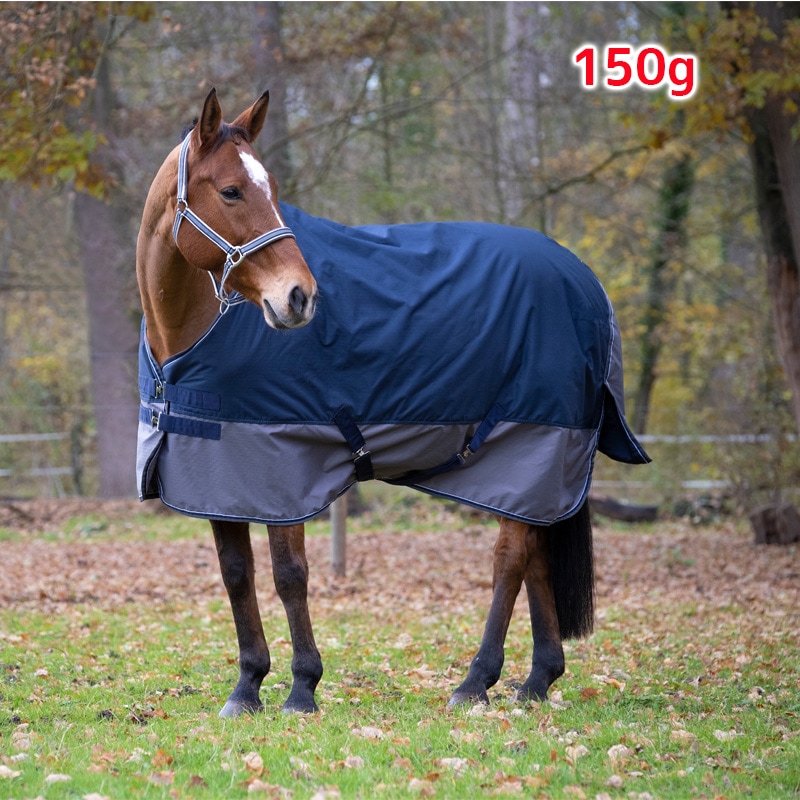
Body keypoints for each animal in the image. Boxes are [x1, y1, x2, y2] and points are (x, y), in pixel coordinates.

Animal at [136, 89, 649, 717]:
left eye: (273, 190)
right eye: (231, 190)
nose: (299, 297)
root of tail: (586, 282)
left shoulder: (285, 470)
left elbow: (289, 575)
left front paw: (302, 688)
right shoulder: (218, 469)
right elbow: (237, 575)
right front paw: (247, 687)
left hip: (532, 446)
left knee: (510, 559)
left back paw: (475, 681)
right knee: (535, 558)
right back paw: (536, 681)